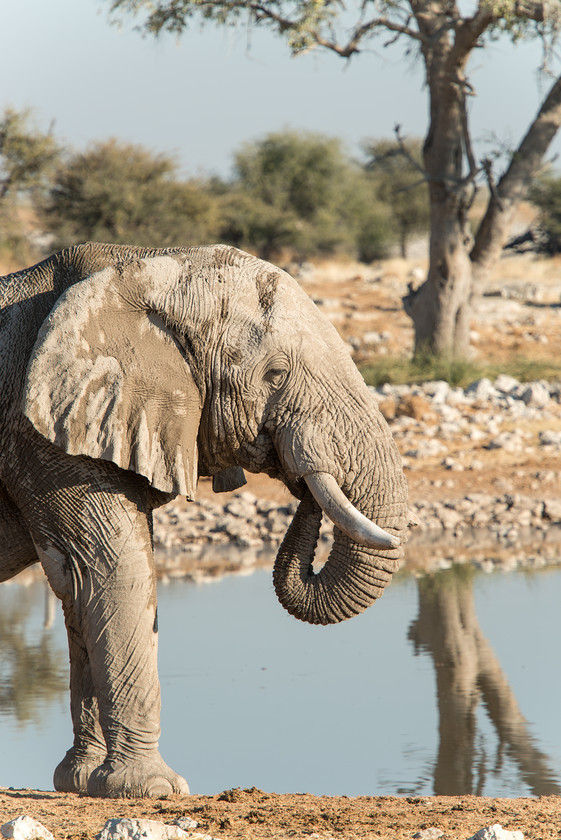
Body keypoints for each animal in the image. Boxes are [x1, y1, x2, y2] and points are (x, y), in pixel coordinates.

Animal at [0, 241, 412, 800]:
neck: (142, 263)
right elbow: (118, 569)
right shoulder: (38, 434)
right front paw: (154, 790)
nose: (302, 476)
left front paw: (82, 781)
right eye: (275, 374)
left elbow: (76, 583)